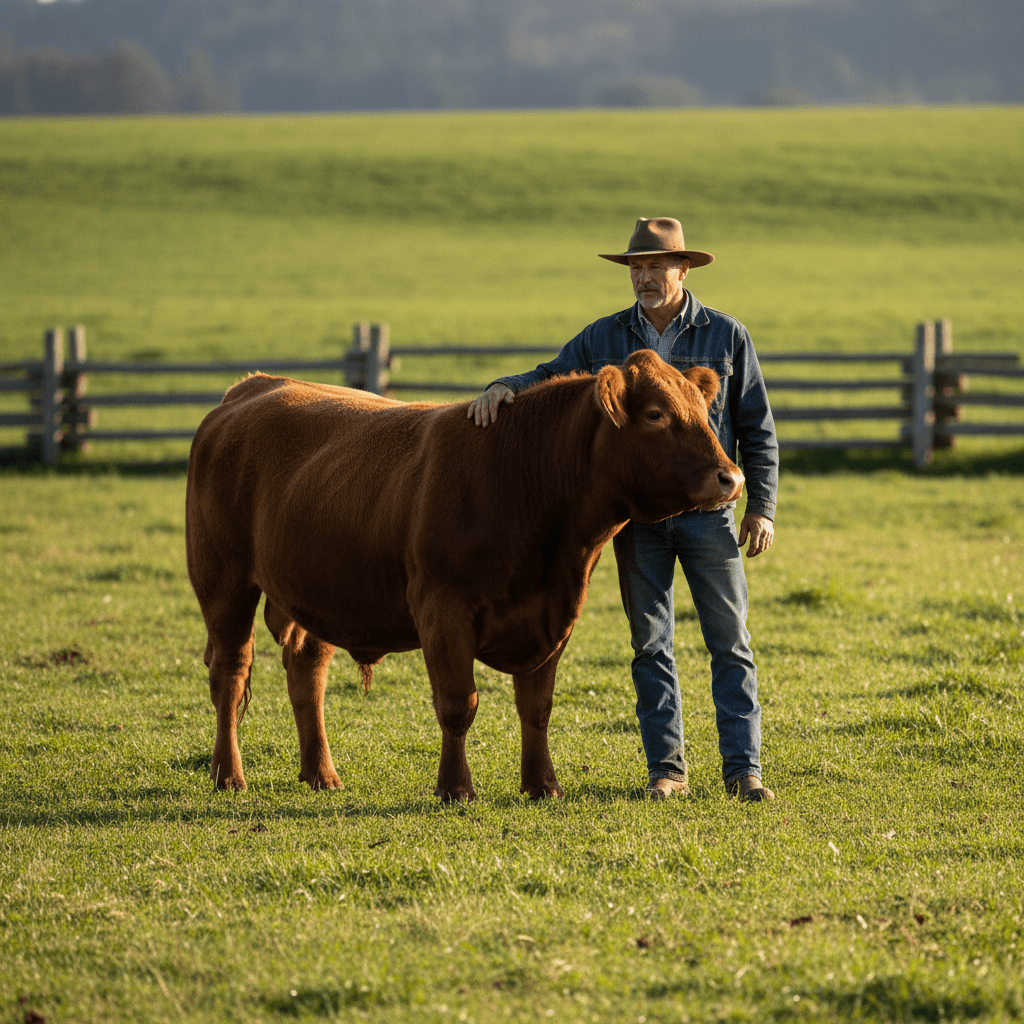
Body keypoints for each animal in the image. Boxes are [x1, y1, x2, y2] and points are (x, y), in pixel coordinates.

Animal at [185, 349, 744, 801]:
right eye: (655, 414)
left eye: (703, 411)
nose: (732, 477)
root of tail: (252, 386)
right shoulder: (443, 609)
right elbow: (458, 703)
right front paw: (455, 789)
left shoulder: (554, 616)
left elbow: (536, 707)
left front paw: (542, 785)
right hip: (223, 582)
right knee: (230, 672)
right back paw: (228, 774)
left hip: (318, 594)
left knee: (306, 672)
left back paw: (321, 774)